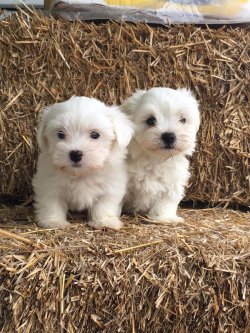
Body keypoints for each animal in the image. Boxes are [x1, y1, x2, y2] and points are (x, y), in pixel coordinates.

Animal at [32, 96, 134, 228]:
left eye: (95, 134)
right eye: (60, 134)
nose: (75, 154)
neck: (81, 174)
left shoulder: (111, 185)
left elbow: (104, 203)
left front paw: (104, 221)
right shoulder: (48, 184)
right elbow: (51, 201)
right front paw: (53, 221)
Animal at [120, 87, 199, 222]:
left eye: (182, 120)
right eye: (150, 120)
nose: (169, 136)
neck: (156, 160)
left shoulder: (174, 183)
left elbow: (166, 202)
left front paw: (163, 218)